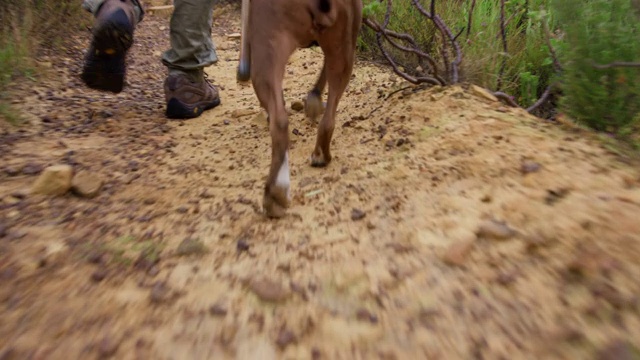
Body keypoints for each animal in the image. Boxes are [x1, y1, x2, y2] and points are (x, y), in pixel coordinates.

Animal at [238, 0, 362, 217]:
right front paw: (314, 98)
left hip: (268, 45)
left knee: (280, 120)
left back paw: (276, 193)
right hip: (343, 44)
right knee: (328, 117)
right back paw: (319, 156)